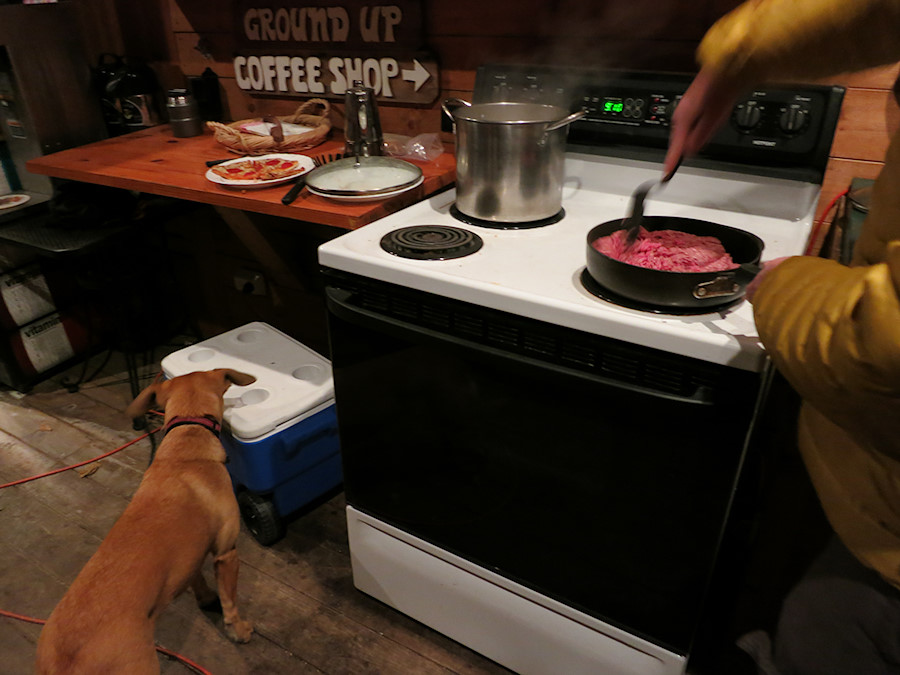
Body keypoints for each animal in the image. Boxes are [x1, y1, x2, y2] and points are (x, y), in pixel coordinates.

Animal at [36, 370, 256, 675]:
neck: (187, 439)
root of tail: (65, 662)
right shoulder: (226, 552)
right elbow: (230, 602)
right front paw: (240, 630)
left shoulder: (190, 556)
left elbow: (196, 579)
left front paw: (205, 598)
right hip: (142, 665)